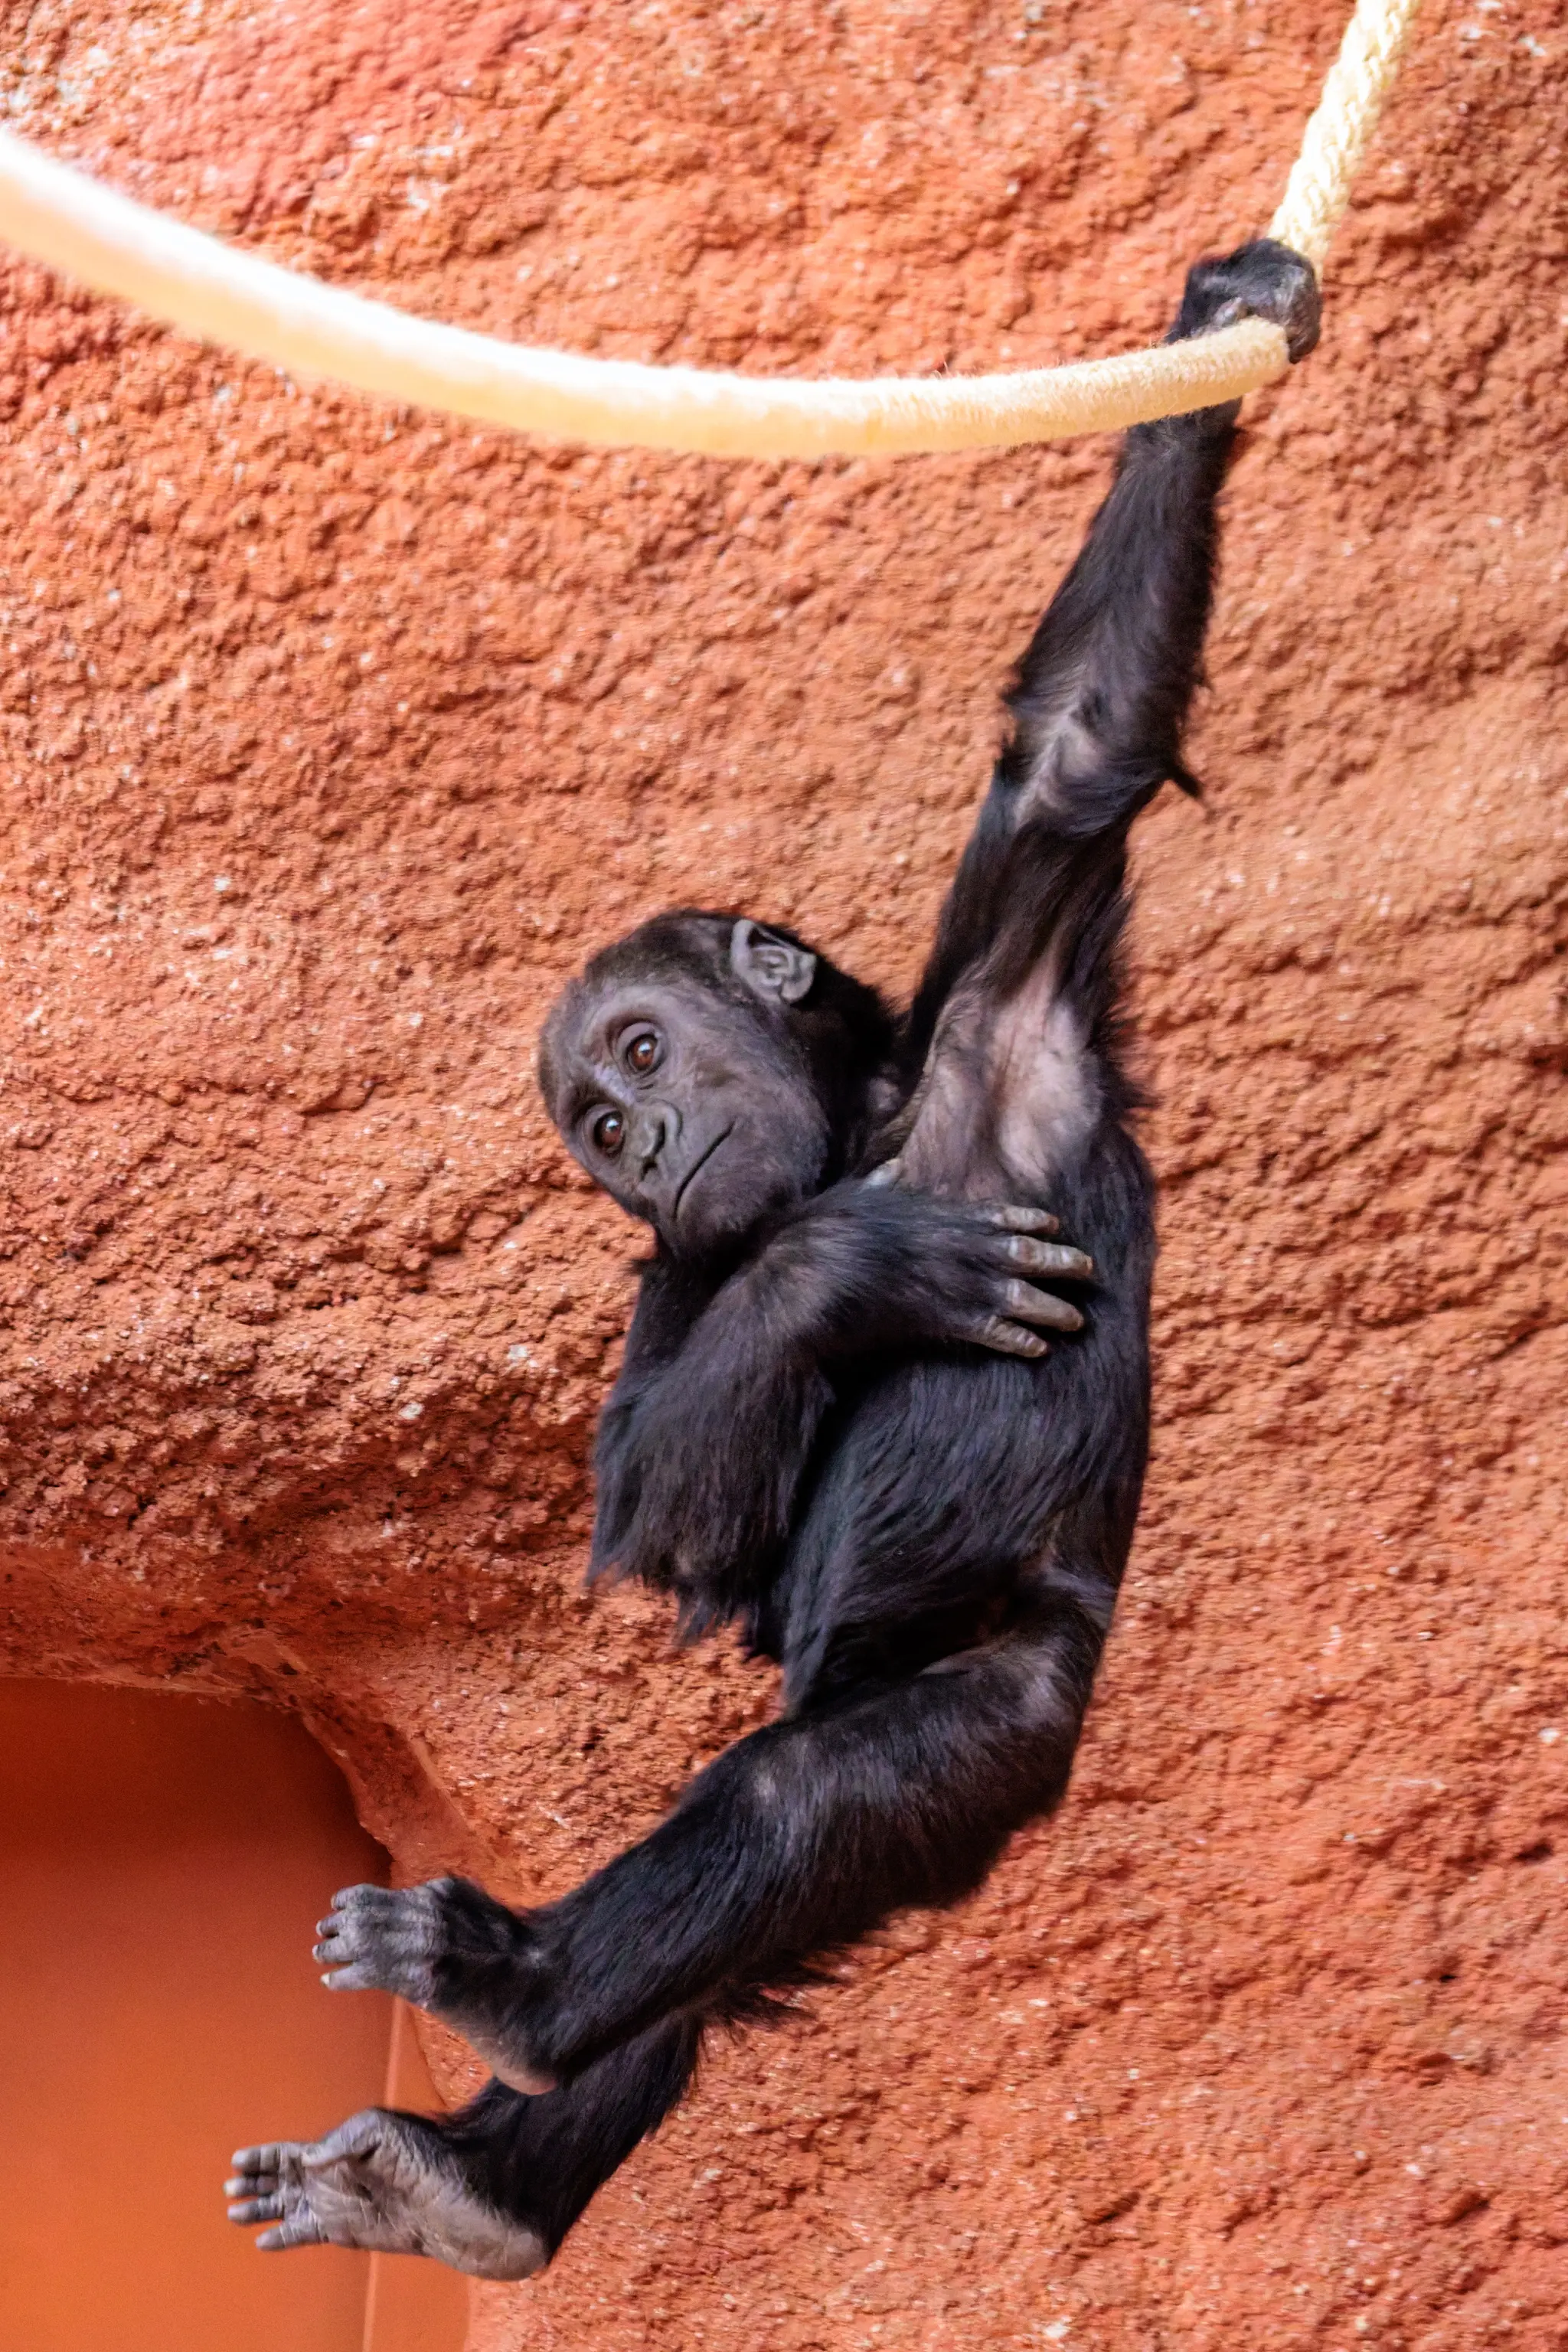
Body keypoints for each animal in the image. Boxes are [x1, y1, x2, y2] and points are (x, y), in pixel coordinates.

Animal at [227, 240, 1320, 2279]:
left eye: (644, 1052)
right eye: (591, 1121)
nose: (641, 1143)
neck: (857, 1118)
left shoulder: (1014, 979)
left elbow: (1072, 756)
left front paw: (1226, 319)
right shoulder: (678, 1272)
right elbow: (662, 1500)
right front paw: (846, 1269)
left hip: (1002, 1710)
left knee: (804, 1803)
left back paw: (509, 1998)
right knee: (704, 1949)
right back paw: (472, 2166)